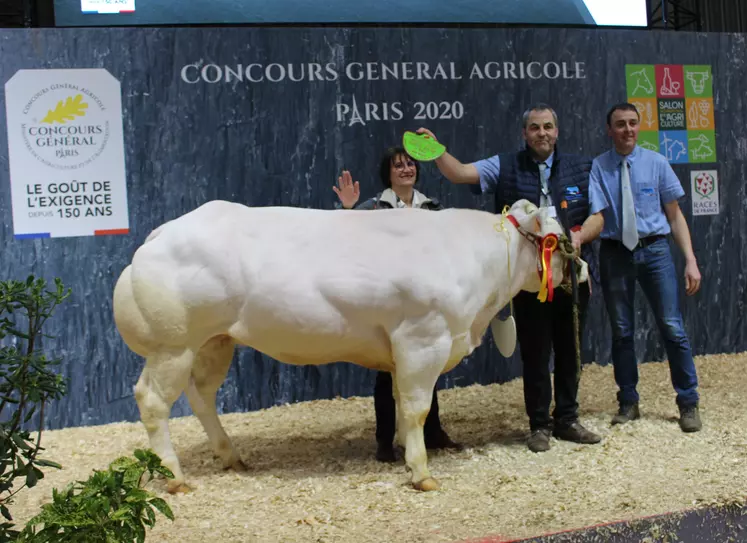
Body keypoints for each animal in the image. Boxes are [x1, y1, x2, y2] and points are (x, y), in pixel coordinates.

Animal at [114, 199, 588, 492]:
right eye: (559, 236)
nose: (582, 269)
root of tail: (161, 233)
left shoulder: (402, 350)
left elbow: (400, 404)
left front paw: (402, 451)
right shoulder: (423, 339)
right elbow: (416, 408)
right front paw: (421, 472)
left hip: (215, 341)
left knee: (201, 395)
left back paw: (230, 456)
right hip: (173, 344)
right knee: (152, 401)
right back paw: (176, 476)